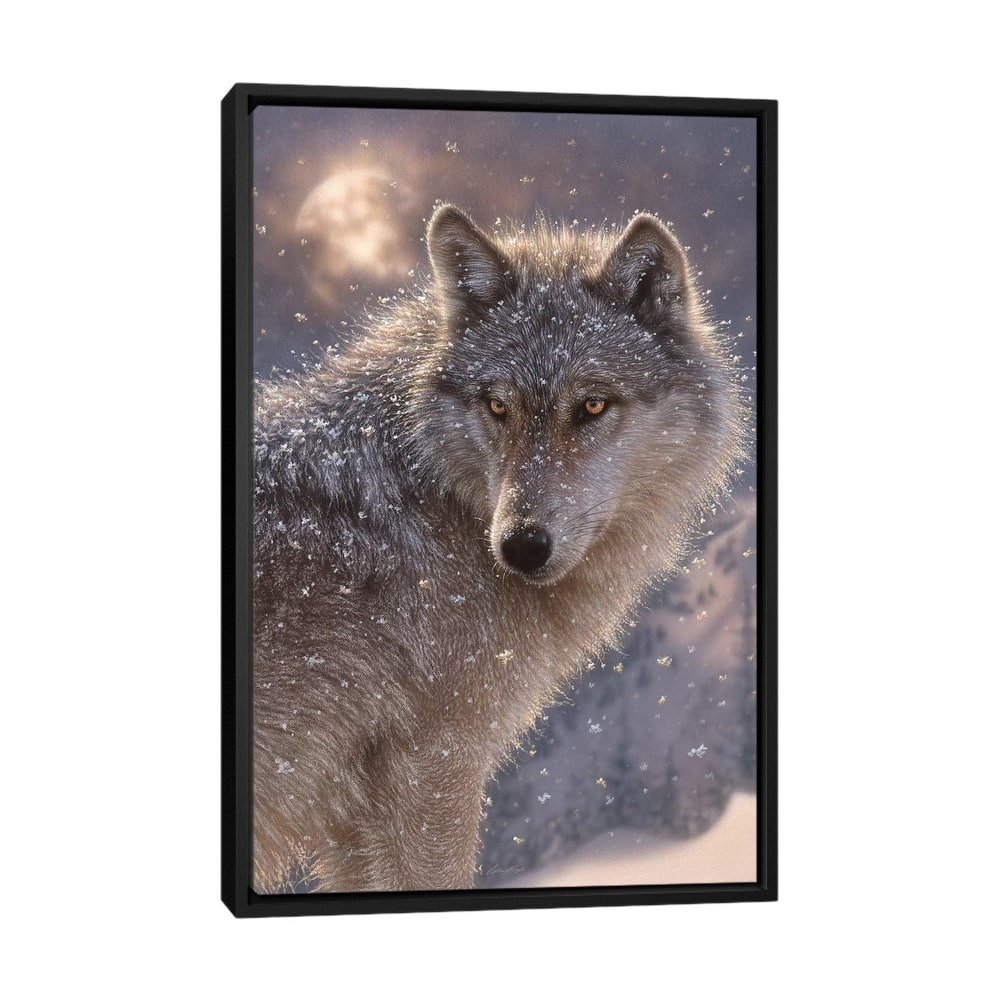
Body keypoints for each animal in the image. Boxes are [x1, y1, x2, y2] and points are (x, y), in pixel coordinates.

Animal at [252, 205, 746, 893]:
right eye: (497, 405)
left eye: (592, 405)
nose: (521, 547)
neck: (437, 494)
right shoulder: (435, 766)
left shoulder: (355, 815)